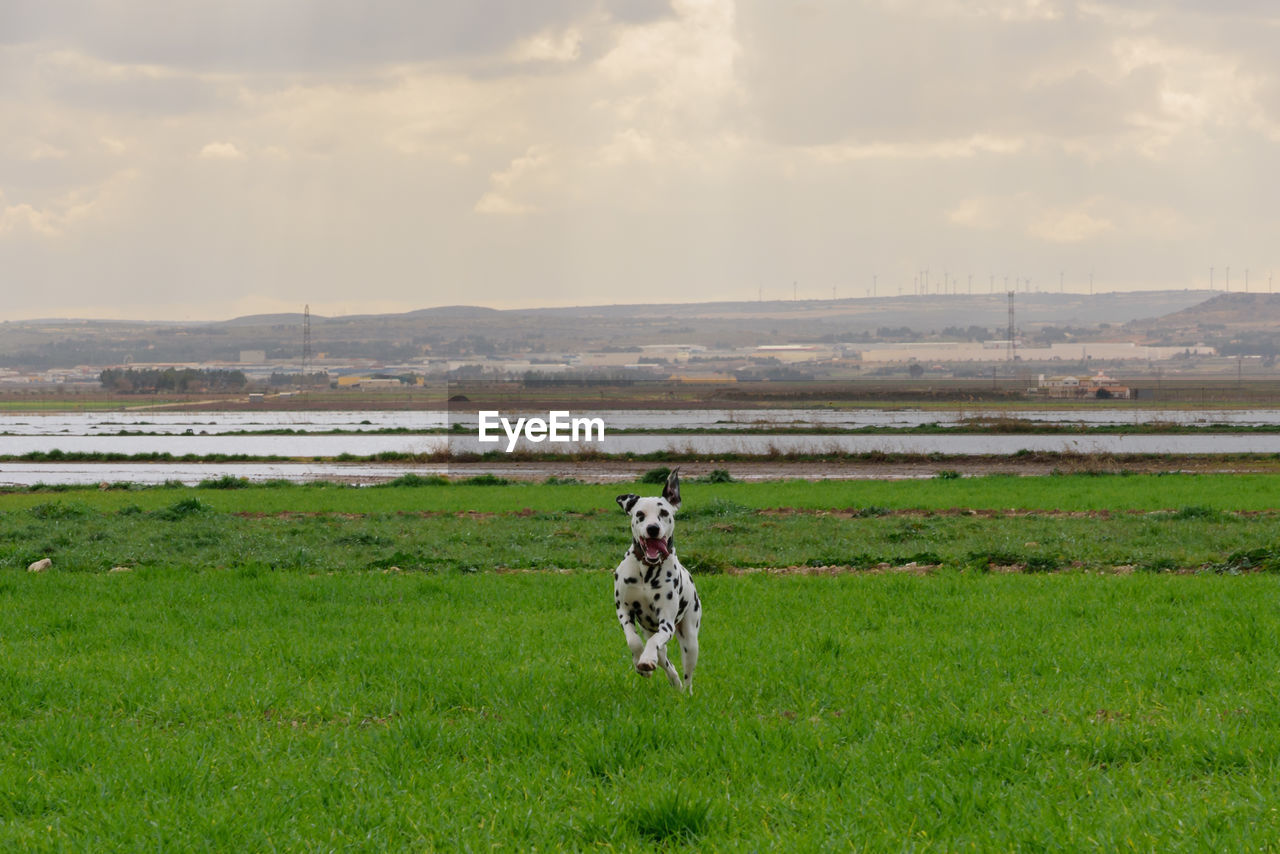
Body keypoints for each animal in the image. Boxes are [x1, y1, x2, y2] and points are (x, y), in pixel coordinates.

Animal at [609, 468, 701, 696]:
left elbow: (653, 642)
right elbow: (633, 641)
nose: (652, 528)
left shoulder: (666, 623)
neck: (646, 573)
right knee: (664, 659)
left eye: (665, 513)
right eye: (639, 514)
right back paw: (670, 677)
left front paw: (645, 661)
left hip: (690, 639)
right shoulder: (623, 611)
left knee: (687, 672)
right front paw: (641, 664)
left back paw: (685, 692)